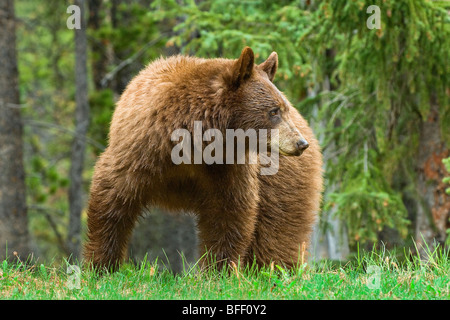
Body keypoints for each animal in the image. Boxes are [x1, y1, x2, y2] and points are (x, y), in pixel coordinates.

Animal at [83, 46, 324, 272]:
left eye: (283, 109)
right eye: (274, 111)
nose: (300, 143)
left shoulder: (227, 168)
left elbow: (229, 214)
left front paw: (218, 271)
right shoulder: (140, 151)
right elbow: (112, 199)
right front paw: (100, 267)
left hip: (281, 183)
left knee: (276, 231)